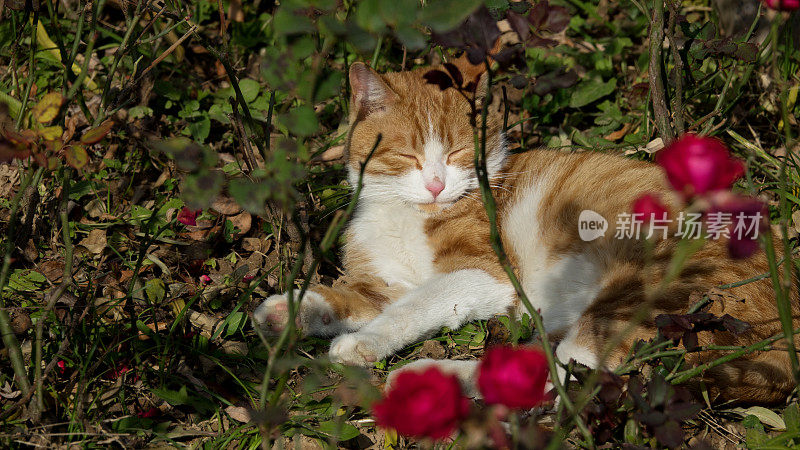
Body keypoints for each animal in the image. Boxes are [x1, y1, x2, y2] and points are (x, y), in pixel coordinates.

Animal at [256, 60, 800, 404]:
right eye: (409, 154)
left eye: (457, 152)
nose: (436, 184)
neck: (408, 212)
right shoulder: (384, 283)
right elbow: (347, 297)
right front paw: (287, 311)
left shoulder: (483, 273)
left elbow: (414, 308)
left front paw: (361, 343)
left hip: (645, 298)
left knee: (574, 380)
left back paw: (427, 380)